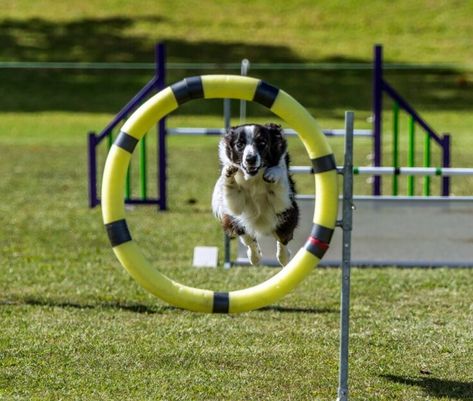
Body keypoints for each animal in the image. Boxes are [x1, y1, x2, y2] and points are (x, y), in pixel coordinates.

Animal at [211, 122, 298, 266]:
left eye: (262, 143)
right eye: (239, 144)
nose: (250, 159)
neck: (253, 179)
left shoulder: (283, 202)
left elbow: (279, 176)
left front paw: (273, 173)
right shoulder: (234, 207)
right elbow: (233, 197)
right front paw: (228, 171)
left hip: (286, 218)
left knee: (282, 239)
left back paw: (284, 258)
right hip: (233, 222)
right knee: (248, 239)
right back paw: (255, 258)